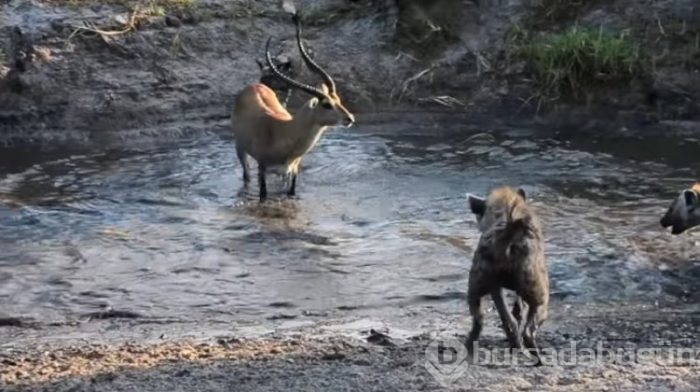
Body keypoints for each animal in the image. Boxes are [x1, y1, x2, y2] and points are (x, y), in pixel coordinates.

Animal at [231, 13, 356, 201]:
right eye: (326, 104)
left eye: (339, 100)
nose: (349, 118)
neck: (284, 131)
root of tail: (253, 86)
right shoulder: (262, 169)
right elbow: (263, 195)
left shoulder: (291, 172)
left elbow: (290, 194)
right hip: (240, 149)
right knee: (246, 176)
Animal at [468, 186, 548, 364]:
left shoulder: (495, 287)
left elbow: (507, 311)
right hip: (540, 292)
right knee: (530, 328)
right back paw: (537, 360)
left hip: (475, 282)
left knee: (479, 318)